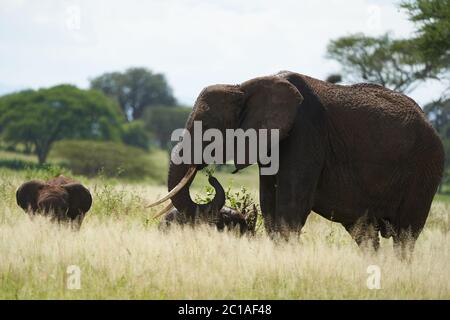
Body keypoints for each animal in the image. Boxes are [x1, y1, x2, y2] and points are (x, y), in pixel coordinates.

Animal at [149, 70, 444, 258]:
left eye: (209, 131)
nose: (210, 176)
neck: (244, 86)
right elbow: (269, 204)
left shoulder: (306, 133)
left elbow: (291, 206)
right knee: (365, 233)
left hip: (425, 168)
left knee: (405, 235)